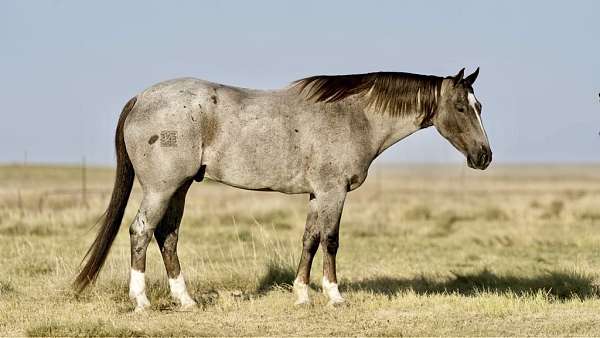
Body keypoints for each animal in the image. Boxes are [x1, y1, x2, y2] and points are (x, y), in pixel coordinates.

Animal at [72, 67, 492, 310]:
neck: (352, 115)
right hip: (162, 188)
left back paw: (186, 300)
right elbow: (331, 241)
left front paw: (302, 294)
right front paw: (334, 295)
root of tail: (141, 97)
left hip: (180, 188)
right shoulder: (333, 192)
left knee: (167, 236)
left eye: (479, 106)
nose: (484, 156)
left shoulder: (317, 194)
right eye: (460, 107)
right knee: (141, 231)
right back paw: (141, 300)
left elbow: (309, 240)